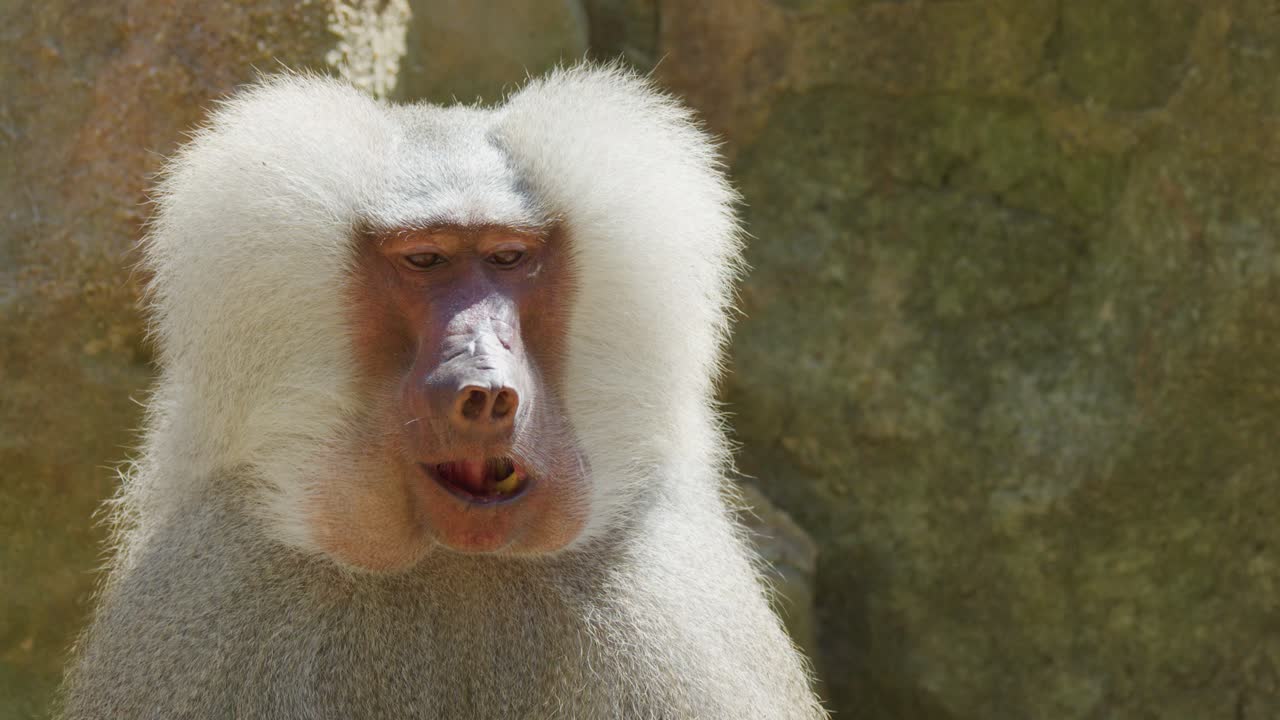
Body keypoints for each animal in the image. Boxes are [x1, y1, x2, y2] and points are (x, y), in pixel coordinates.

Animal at [58, 65, 827, 719]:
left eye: (508, 257)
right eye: (425, 259)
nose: (484, 394)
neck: (455, 567)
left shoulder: (662, 613)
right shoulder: (218, 600)